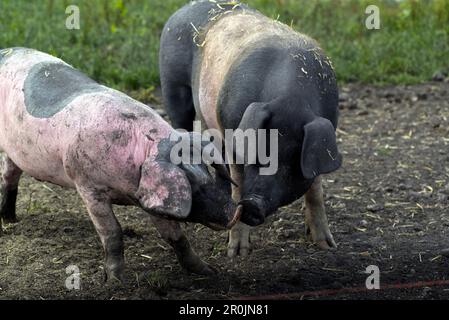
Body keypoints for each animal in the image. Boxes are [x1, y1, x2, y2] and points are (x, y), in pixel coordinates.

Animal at [0, 47, 242, 280]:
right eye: (192, 186)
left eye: (205, 171)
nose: (235, 212)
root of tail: (6, 51)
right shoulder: (87, 185)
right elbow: (112, 232)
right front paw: (114, 281)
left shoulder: (149, 197)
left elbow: (174, 235)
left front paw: (209, 271)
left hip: (14, 152)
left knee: (10, 176)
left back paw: (10, 219)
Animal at [159, 0, 342, 258]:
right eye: (258, 156)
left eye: (293, 163)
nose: (253, 204)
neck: (291, 99)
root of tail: (183, 8)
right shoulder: (234, 134)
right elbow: (239, 183)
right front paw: (236, 253)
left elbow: (315, 190)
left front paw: (327, 245)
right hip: (173, 86)